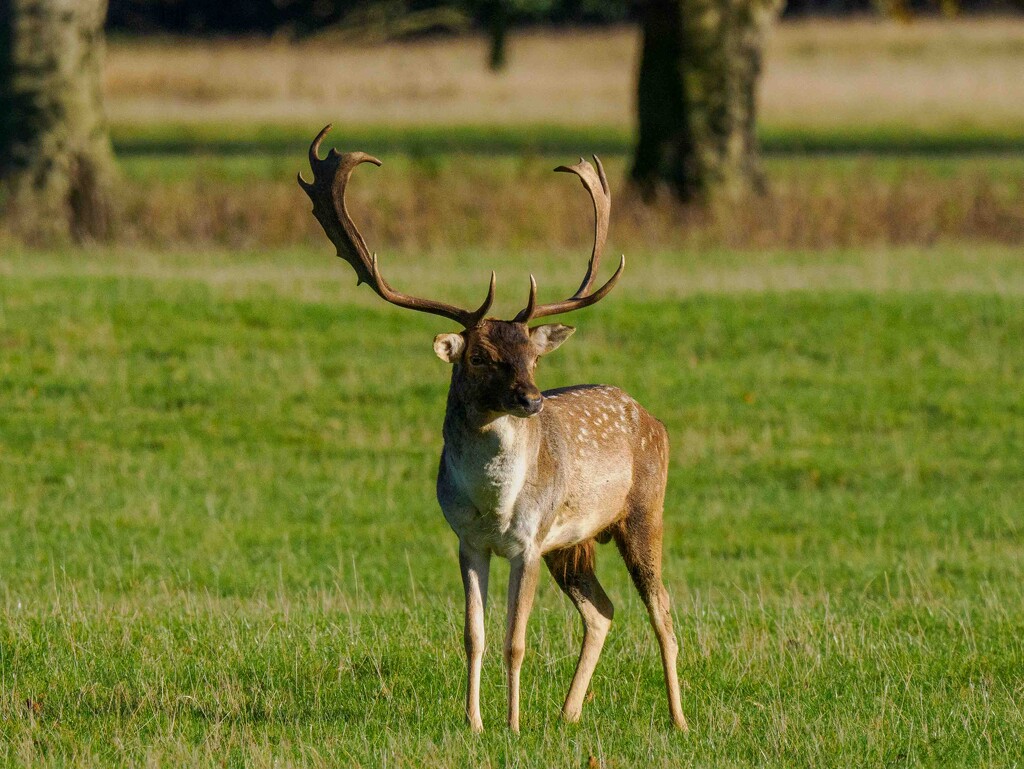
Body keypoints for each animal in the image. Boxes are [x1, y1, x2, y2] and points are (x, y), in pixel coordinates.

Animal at [299, 124, 692, 733]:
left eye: (532, 354)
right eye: (481, 356)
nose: (531, 400)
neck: (494, 504)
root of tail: (652, 417)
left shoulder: (528, 541)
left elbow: (516, 640)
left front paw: (511, 724)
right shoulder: (468, 541)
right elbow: (474, 636)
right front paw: (475, 722)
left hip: (644, 511)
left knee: (664, 613)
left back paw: (679, 721)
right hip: (571, 543)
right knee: (602, 610)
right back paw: (568, 713)